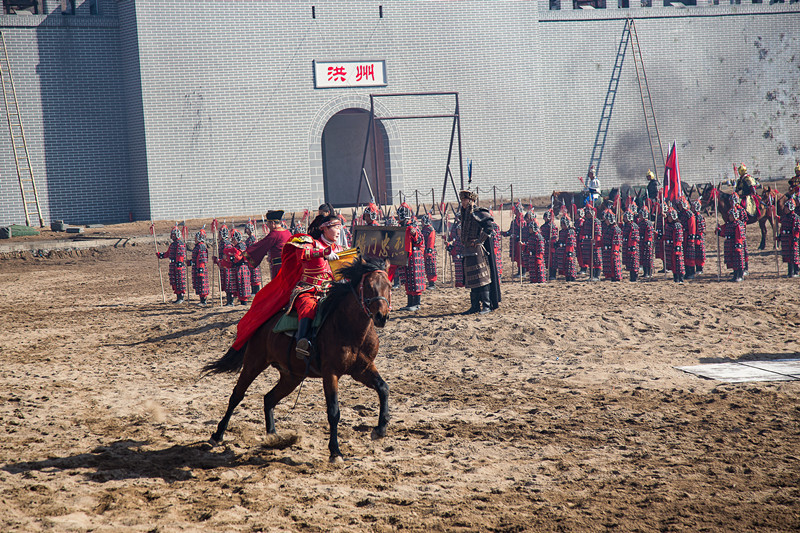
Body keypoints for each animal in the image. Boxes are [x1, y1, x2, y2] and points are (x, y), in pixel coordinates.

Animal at [202, 256, 392, 460]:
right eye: (369, 285)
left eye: (388, 285)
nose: (381, 317)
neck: (348, 327)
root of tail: (263, 323)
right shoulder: (330, 373)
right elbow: (334, 411)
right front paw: (335, 451)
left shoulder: (362, 369)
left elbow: (383, 388)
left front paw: (380, 429)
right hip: (254, 362)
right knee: (237, 395)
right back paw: (218, 434)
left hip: (291, 376)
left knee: (269, 398)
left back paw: (273, 436)